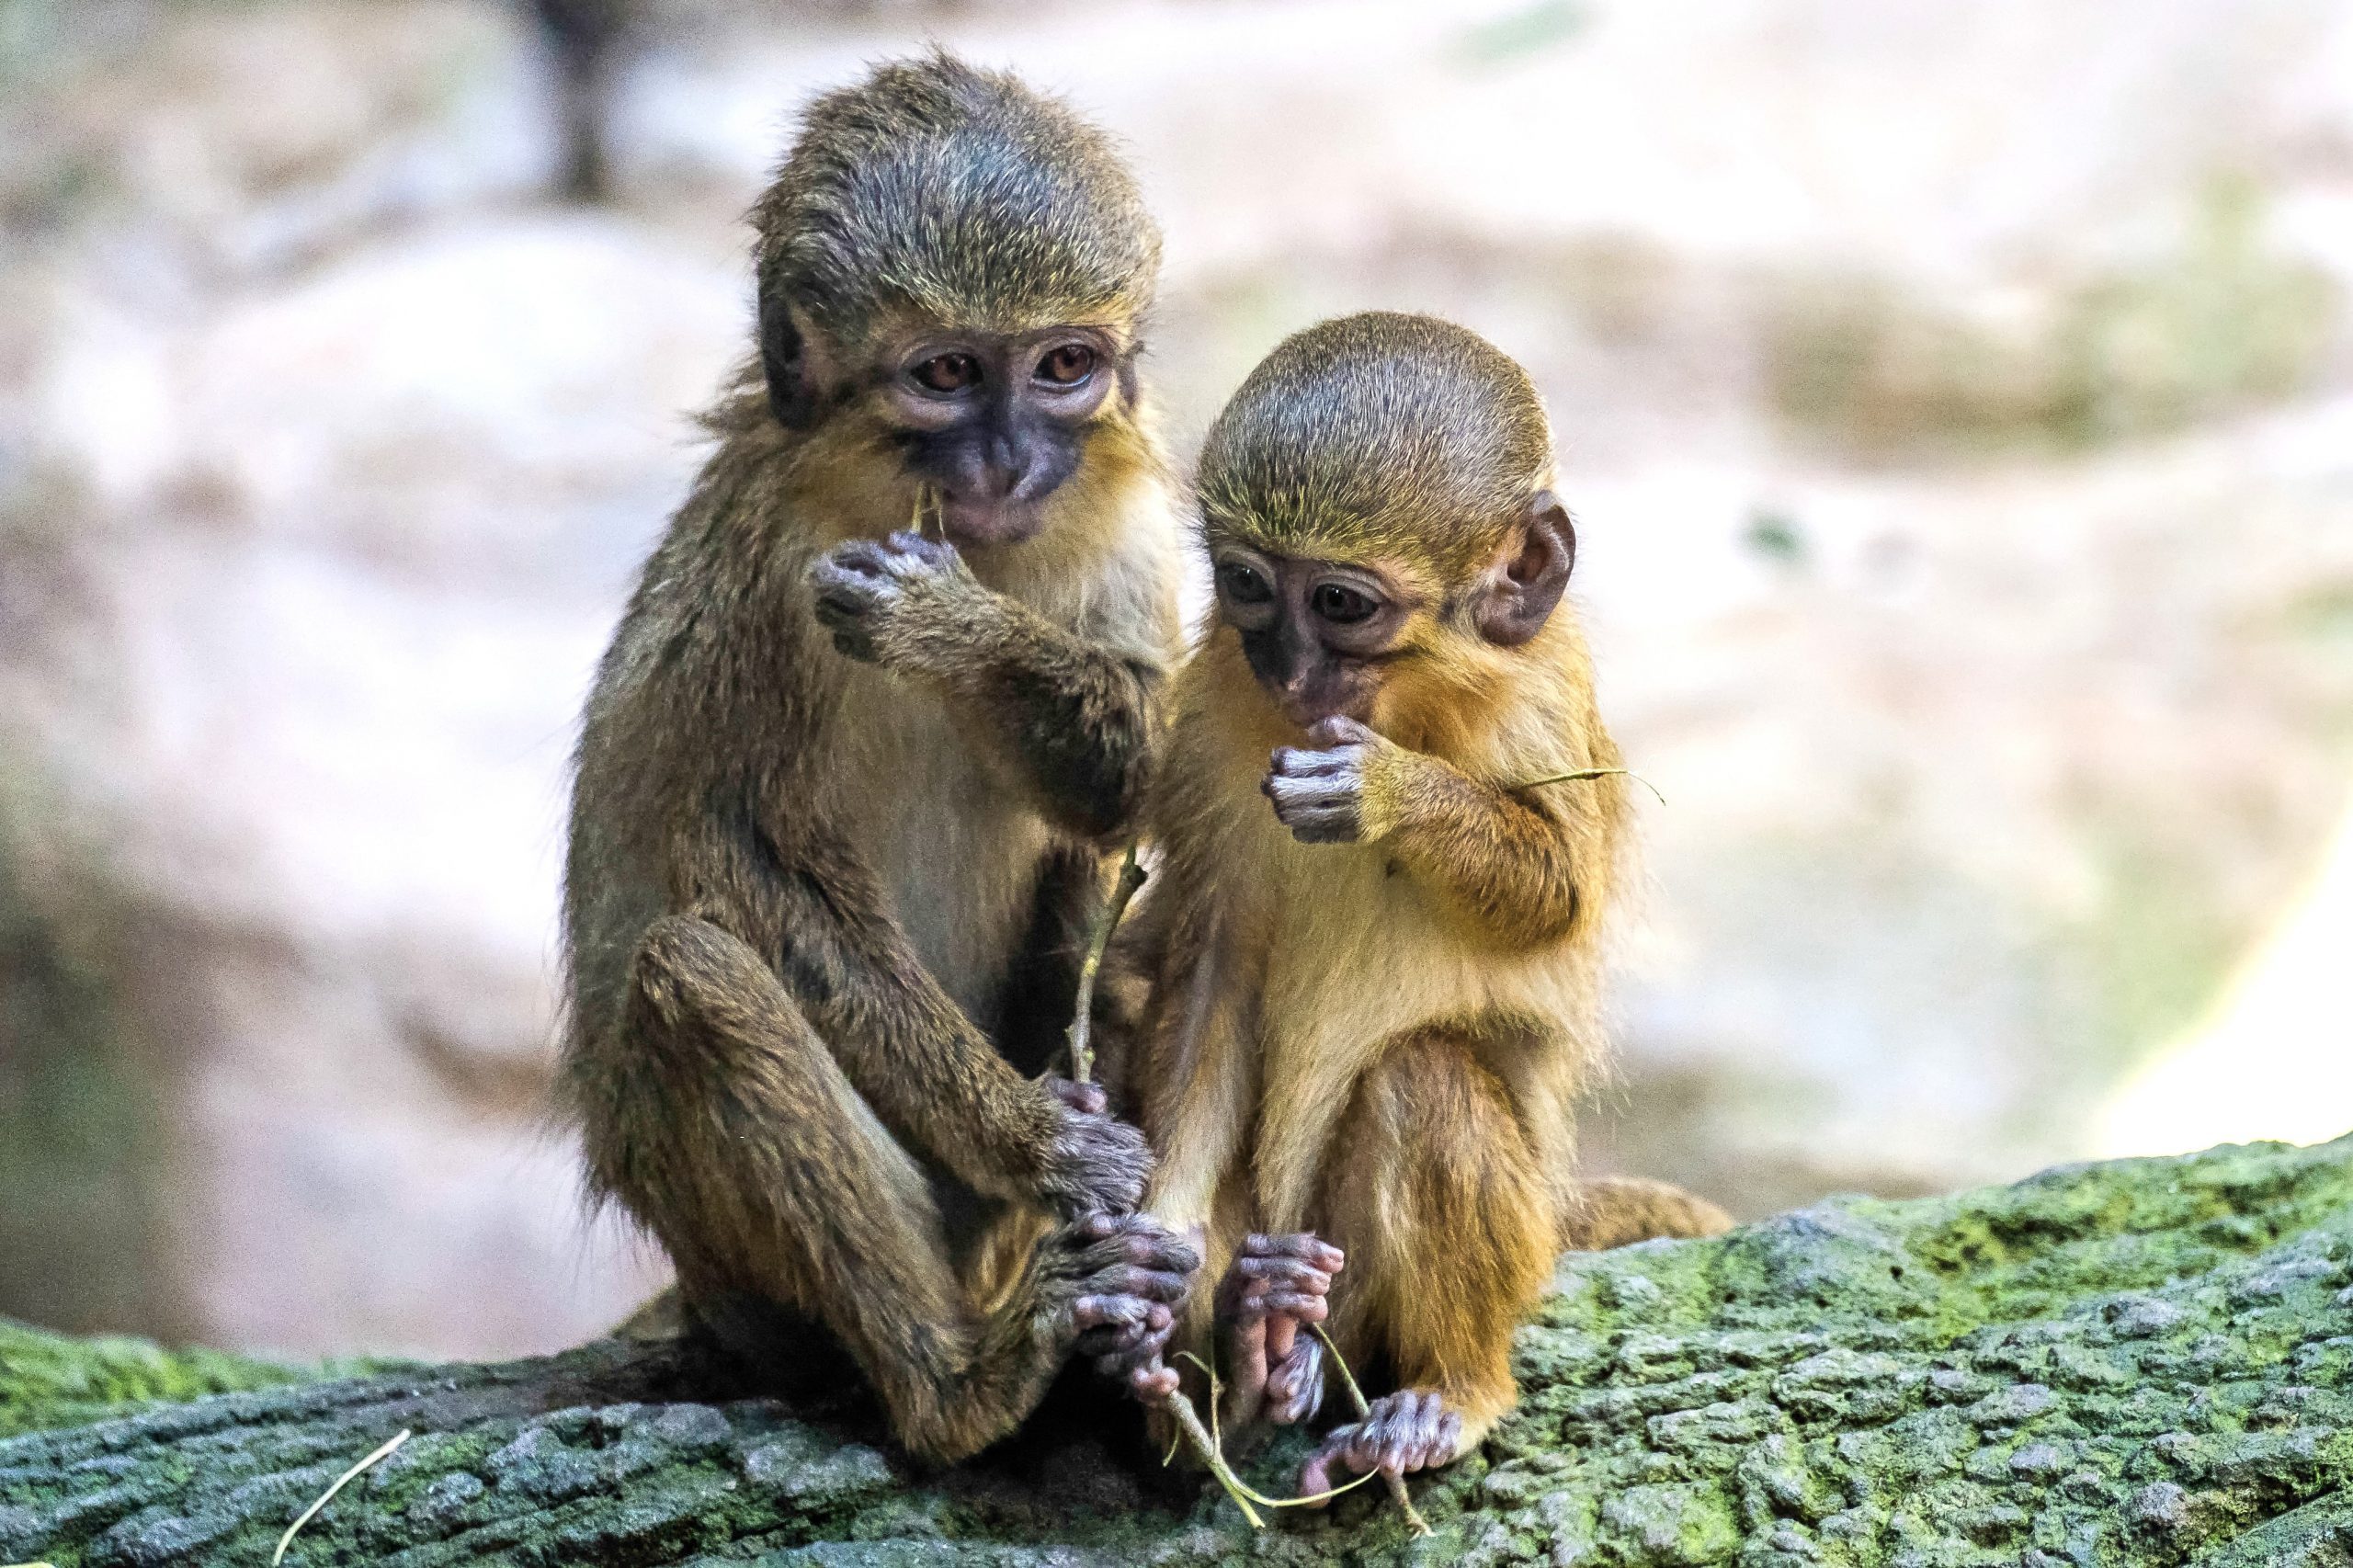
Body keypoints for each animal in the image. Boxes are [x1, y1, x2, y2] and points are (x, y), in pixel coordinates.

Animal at [564, 54, 1195, 1460]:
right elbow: (740, 847)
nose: (1010, 456)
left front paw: (952, 631)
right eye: (948, 372)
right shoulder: (769, 564)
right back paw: (959, 1386)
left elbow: (1140, 785)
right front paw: (1033, 1137)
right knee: (696, 974)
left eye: (1062, 364)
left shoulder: (1132, 512)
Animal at [1101, 311, 1732, 1487]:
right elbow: (1211, 965)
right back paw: (1251, 1346)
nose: (1287, 666)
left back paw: (1433, 1386)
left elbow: (1556, 897)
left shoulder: (1540, 701)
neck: (1406, 699)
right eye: (1249, 586)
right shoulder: (1208, 715)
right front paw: (1158, 1256)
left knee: (1422, 1076)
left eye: (1339, 604)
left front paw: (1388, 794)